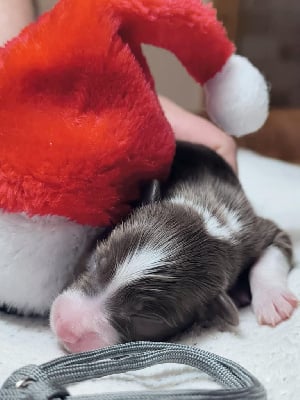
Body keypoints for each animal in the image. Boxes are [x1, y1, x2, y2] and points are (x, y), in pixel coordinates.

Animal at [50, 142, 298, 352]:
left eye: (144, 320)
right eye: (95, 262)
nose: (64, 325)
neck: (206, 218)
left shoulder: (252, 228)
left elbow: (274, 250)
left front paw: (273, 301)